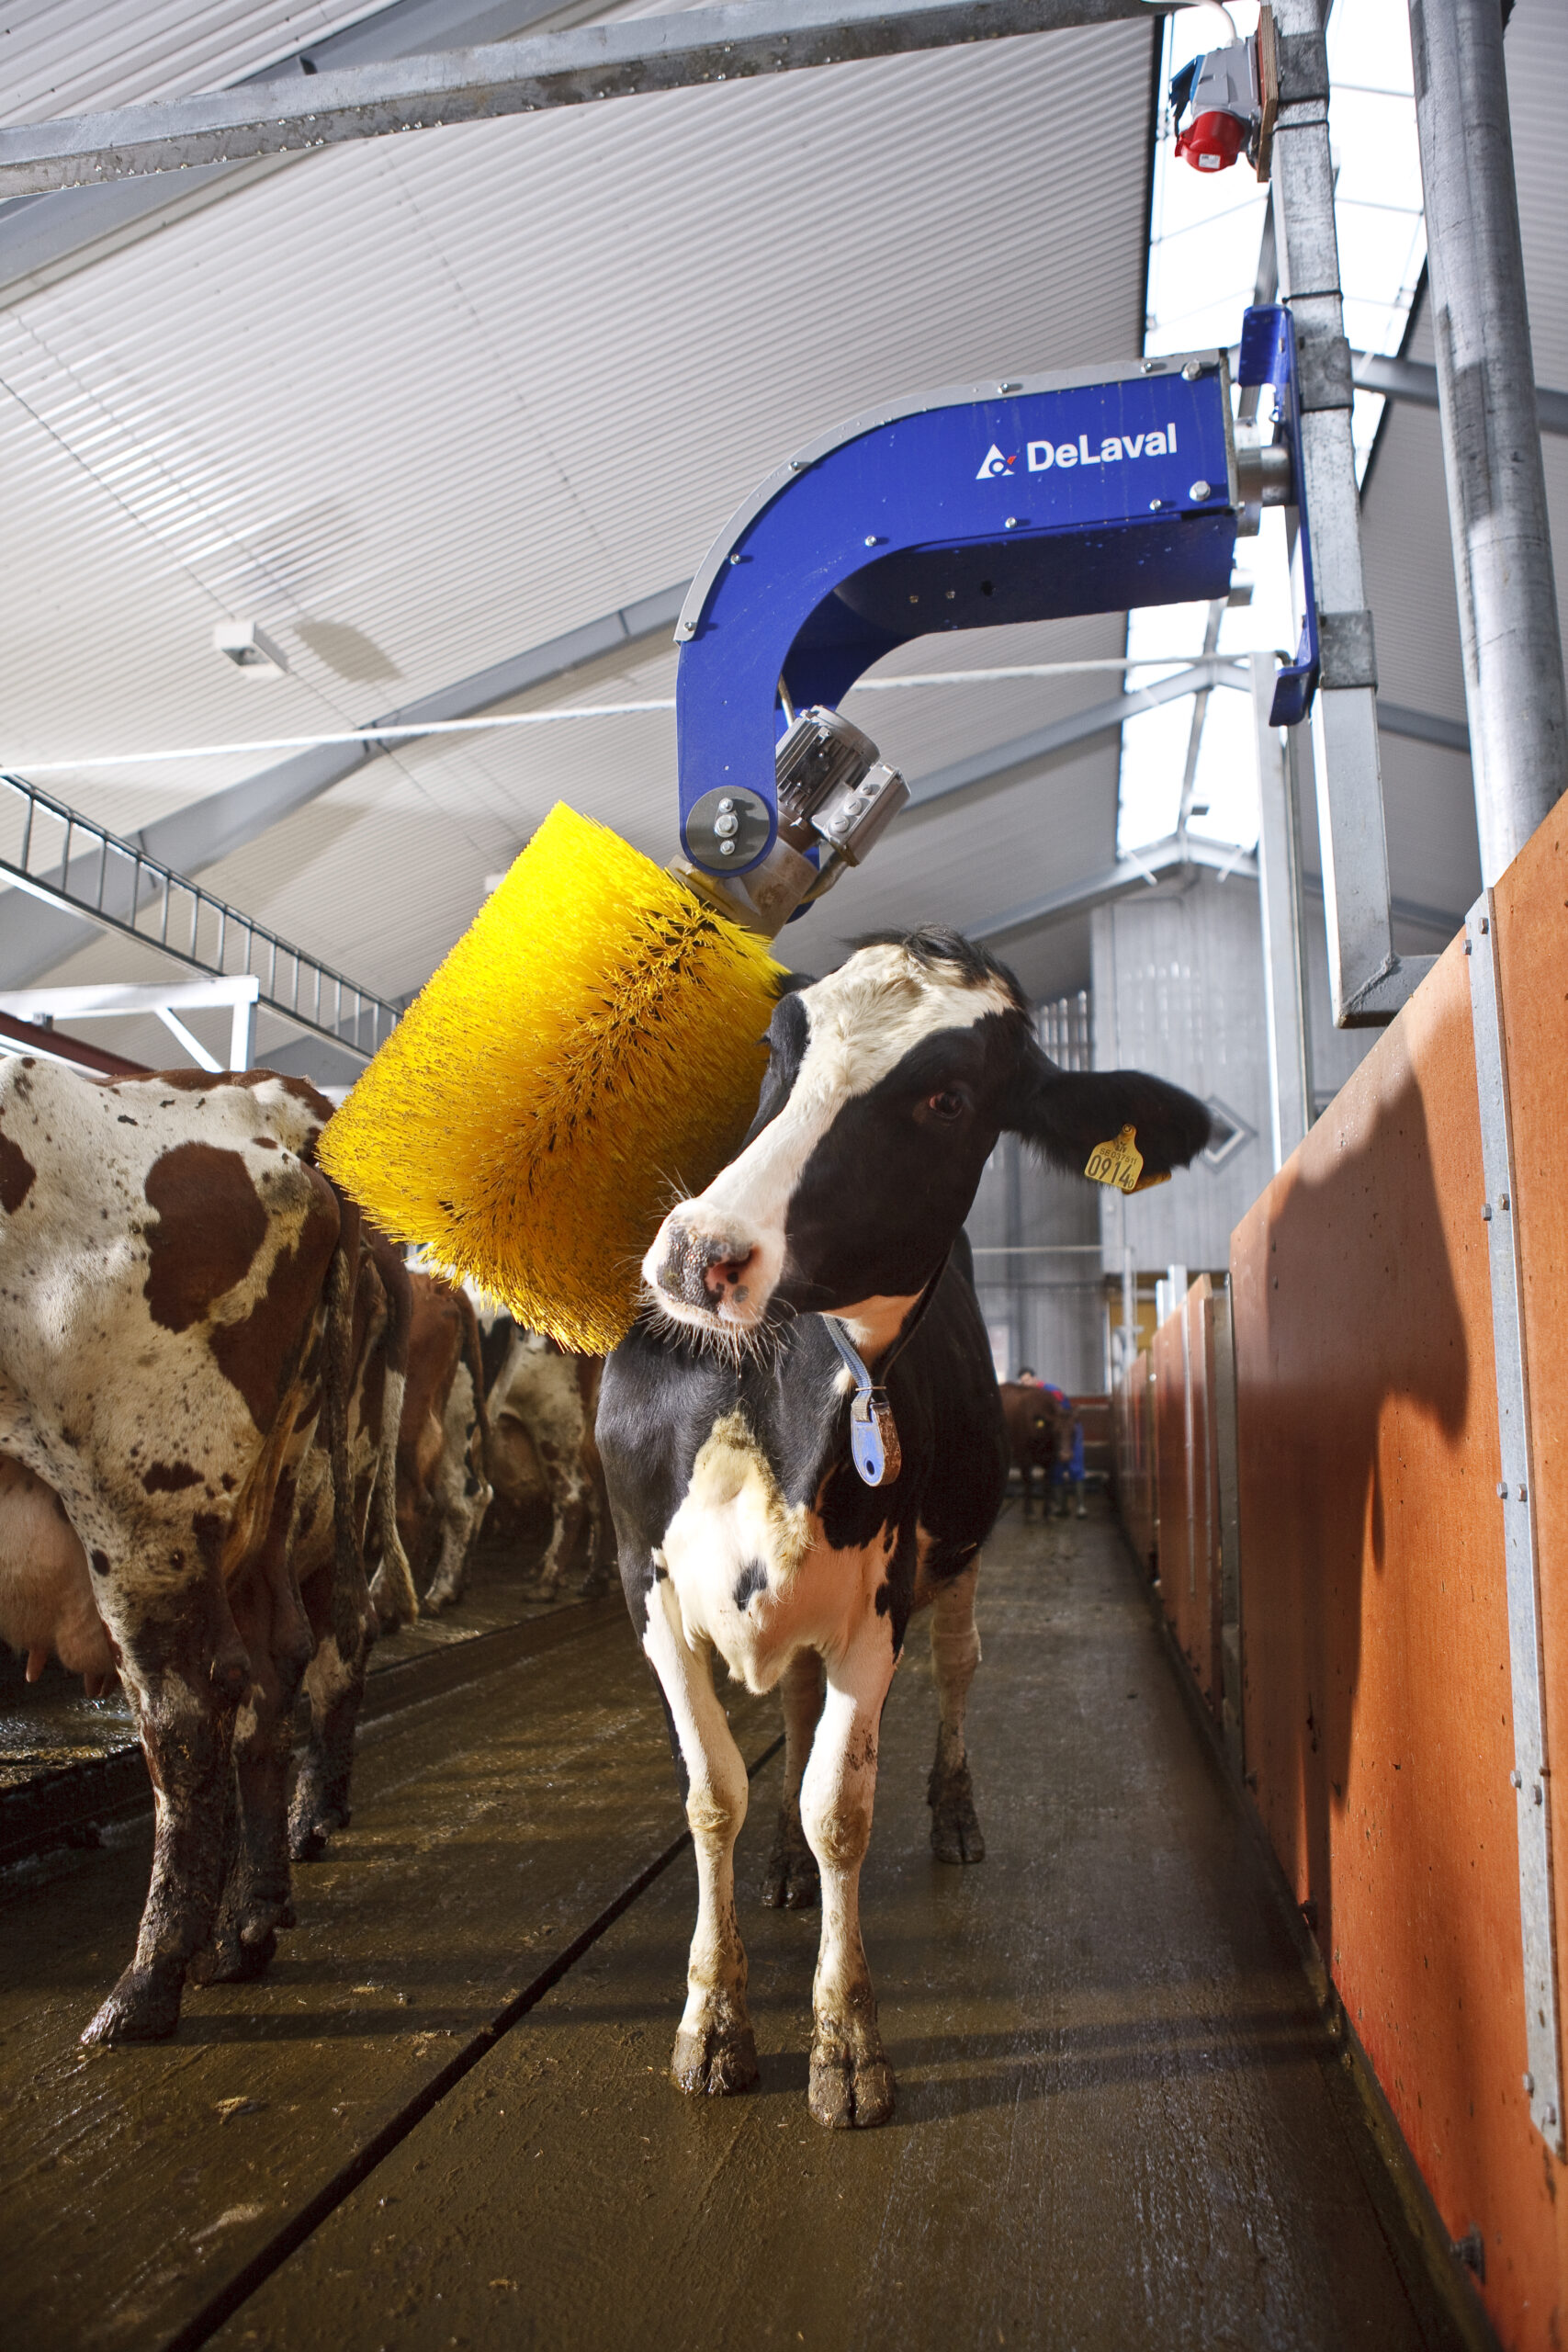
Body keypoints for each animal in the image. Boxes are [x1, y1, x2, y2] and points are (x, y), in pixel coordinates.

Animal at [0, 1058, 367, 2044]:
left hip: (141, 1511)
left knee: (187, 1724)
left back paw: (150, 1979)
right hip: (254, 1514)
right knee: (274, 1672)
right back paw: (244, 1926)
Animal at [598, 928, 1209, 2128]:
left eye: (948, 1098)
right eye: (778, 1040)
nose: (698, 1255)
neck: (771, 1392)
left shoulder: (874, 1607)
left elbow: (842, 1807)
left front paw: (846, 2046)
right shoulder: (648, 1587)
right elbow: (714, 1794)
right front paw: (713, 2022)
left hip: (962, 1551)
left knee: (961, 1668)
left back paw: (956, 1813)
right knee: (788, 1706)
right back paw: (783, 1866)